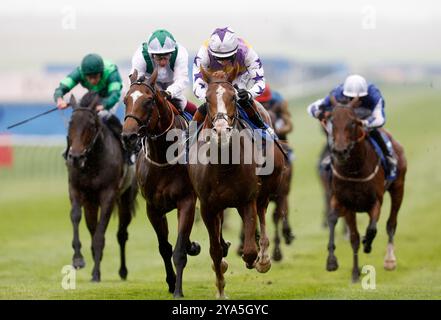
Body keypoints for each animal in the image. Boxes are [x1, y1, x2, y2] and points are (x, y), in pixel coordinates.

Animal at [65, 91, 136, 282]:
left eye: (90, 125)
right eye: (70, 124)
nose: (75, 157)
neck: (92, 162)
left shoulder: (108, 195)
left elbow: (100, 234)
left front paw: (96, 273)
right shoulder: (76, 189)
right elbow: (76, 216)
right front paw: (78, 259)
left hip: (125, 198)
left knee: (121, 234)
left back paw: (123, 271)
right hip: (91, 203)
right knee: (92, 227)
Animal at [121, 69, 199, 298]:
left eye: (148, 101)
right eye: (125, 100)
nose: (128, 136)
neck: (165, 159)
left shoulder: (186, 201)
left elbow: (179, 250)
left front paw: (178, 290)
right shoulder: (154, 208)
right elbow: (164, 247)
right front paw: (172, 283)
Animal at [188, 69, 286, 298]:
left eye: (233, 97)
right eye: (207, 99)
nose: (221, 130)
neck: (224, 165)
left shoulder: (247, 200)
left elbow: (250, 250)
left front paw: (256, 259)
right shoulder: (207, 207)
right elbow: (214, 250)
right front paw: (220, 289)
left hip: (264, 191)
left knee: (262, 214)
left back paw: (263, 258)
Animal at [320, 96, 406, 282]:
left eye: (352, 122)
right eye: (332, 121)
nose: (340, 151)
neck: (355, 169)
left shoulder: (375, 201)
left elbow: (372, 228)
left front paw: (368, 244)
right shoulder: (346, 203)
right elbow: (352, 236)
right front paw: (348, 270)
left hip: (398, 187)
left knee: (391, 223)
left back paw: (389, 260)